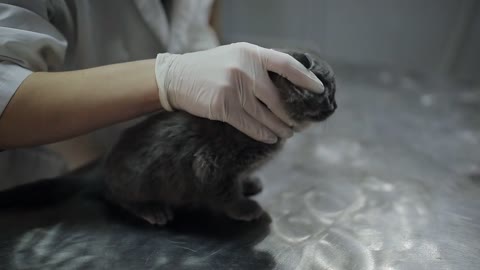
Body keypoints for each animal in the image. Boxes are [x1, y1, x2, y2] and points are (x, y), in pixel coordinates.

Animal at [104, 49, 338, 225]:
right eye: (328, 94)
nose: (335, 106)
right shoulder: (210, 165)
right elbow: (227, 193)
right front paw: (244, 208)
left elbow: (240, 179)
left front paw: (248, 183)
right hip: (138, 180)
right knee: (120, 198)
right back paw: (152, 209)